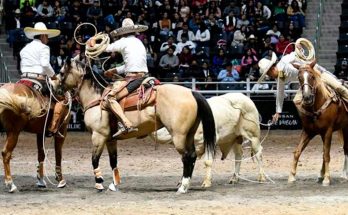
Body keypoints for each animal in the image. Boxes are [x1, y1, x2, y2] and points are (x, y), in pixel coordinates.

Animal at [59, 55, 216, 193]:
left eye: (61, 72)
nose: (57, 89)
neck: (97, 100)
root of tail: (191, 92)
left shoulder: (98, 136)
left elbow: (94, 160)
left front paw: (99, 183)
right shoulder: (110, 140)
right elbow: (113, 161)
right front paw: (114, 185)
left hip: (178, 136)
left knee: (187, 157)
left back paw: (182, 187)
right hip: (189, 134)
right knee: (193, 156)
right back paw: (184, 184)